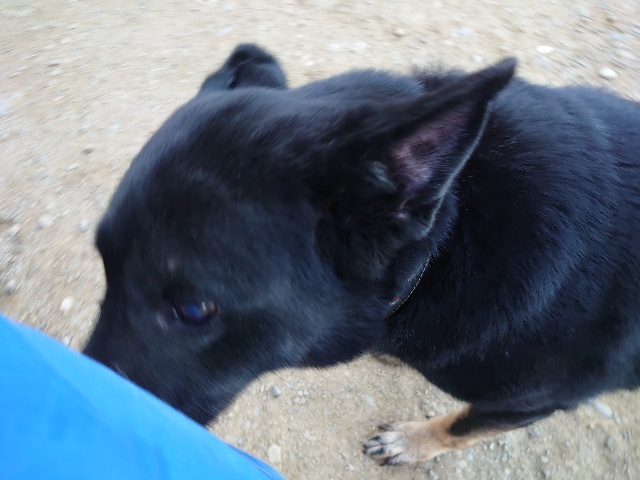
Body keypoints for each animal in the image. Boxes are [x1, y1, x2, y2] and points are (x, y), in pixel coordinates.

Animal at [84, 43, 640, 465]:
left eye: (193, 309)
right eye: (106, 267)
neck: (453, 232)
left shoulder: (536, 401)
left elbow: (463, 426)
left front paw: (412, 442)